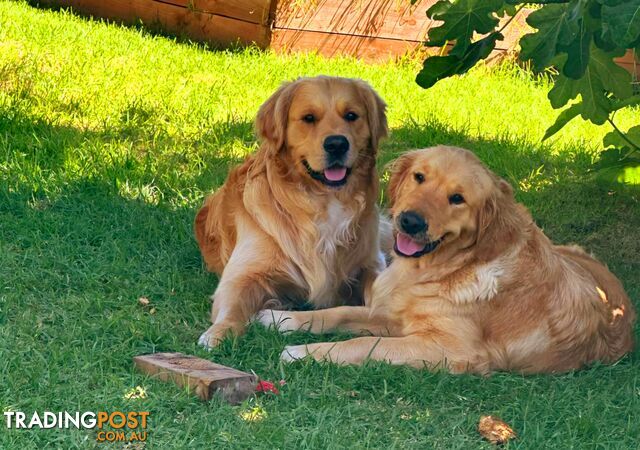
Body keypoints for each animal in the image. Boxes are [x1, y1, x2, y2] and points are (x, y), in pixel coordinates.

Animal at [192, 76, 388, 348]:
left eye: (351, 115)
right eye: (308, 118)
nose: (337, 144)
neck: (323, 202)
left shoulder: (371, 261)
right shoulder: (242, 273)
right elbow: (233, 303)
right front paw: (220, 331)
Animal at [258, 147, 636, 372]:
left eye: (458, 198)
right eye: (419, 177)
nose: (410, 221)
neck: (445, 269)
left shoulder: (452, 349)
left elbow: (363, 343)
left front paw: (303, 353)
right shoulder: (396, 314)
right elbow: (337, 313)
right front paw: (282, 318)